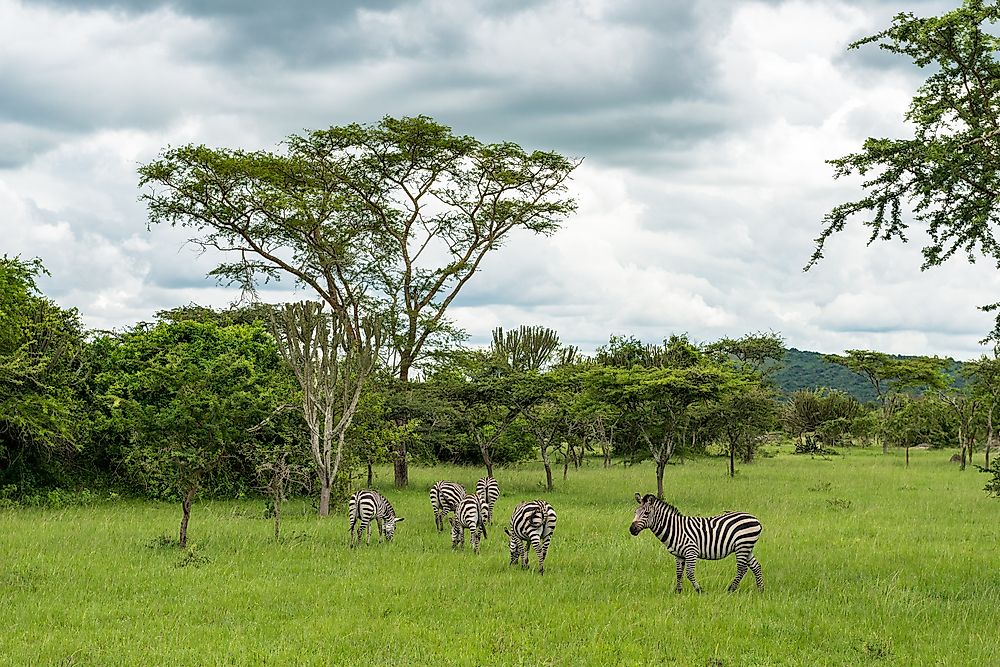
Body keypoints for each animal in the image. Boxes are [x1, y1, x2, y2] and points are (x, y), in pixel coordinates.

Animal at [628, 490, 760, 596]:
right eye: (635, 512)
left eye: (646, 513)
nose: (631, 529)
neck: (675, 528)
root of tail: (754, 518)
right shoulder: (679, 555)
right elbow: (679, 573)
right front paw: (678, 591)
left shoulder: (691, 551)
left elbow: (689, 573)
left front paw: (700, 590)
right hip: (747, 547)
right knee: (756, 566)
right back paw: (761, 590)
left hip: (742, 546)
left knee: (742, 568)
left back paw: (731, 589)